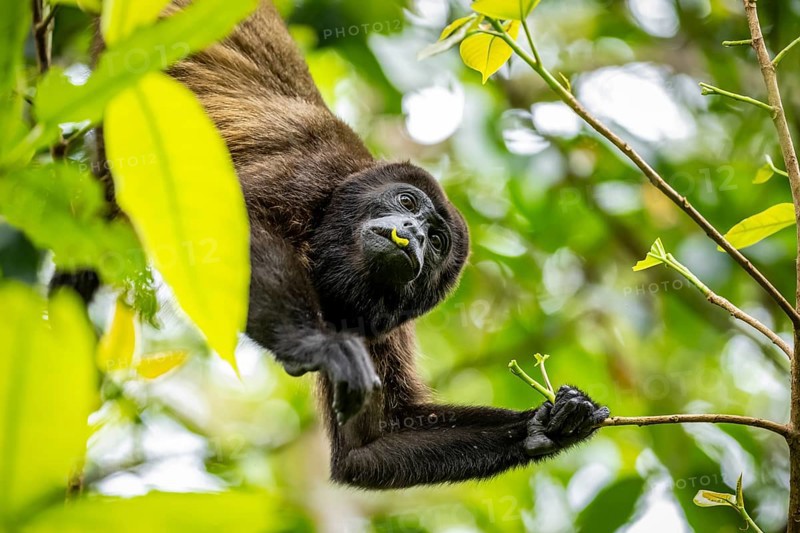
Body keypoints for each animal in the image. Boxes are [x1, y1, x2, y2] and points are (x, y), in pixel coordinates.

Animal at [67, 0, 610, 489]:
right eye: (407, 201)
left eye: (437, 241)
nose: (413, 234)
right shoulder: (309, 175)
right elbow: (235, 232)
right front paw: (319, 346)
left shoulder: (385, 330)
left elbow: (368, 445)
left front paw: (548, 425)